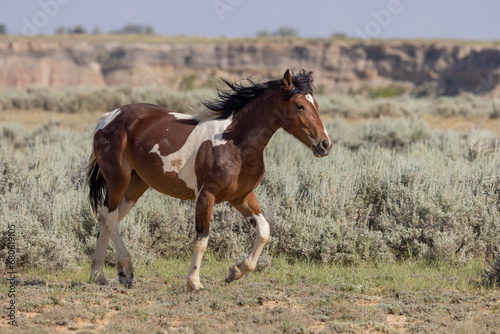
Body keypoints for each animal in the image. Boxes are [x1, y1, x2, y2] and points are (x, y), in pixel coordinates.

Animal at [86, 69, 332, 290]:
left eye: (317, 105)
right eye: (299, 105)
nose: (325, 144)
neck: (235, 144)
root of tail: (108, 118)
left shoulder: (242, 197)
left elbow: (264, 230)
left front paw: (236, 271)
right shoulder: (206, 196)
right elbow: (202, 240)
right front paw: (193, 282)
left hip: (137, 185)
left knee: (107, 219)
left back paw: (101, 275)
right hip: (118, 180)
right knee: (110, 217)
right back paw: (123, 270)